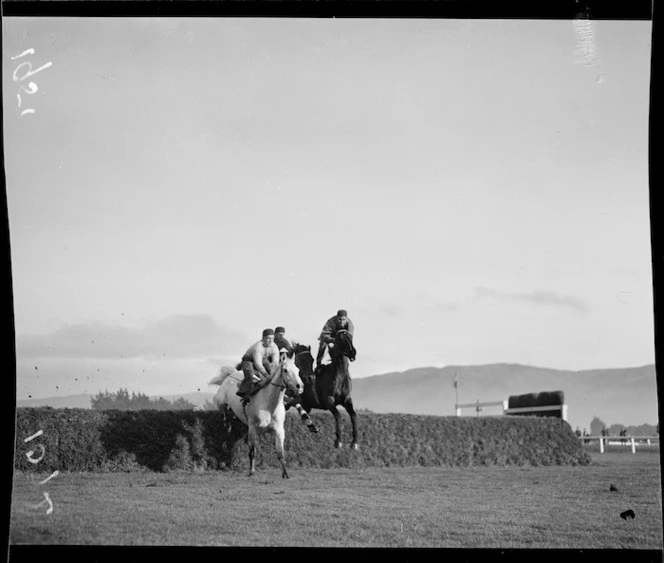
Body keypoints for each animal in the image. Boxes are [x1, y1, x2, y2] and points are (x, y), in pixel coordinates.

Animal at [209, 352, 304, 480]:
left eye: (298, 370)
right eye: (285, 370)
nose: (299, 386)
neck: (269, 406)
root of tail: (230, 374)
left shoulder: (279, 431)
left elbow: (280, 453)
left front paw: (285, 474)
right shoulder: (252, 428)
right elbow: (252, 451)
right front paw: (251, 471)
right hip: (220, 401)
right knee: (224, 410)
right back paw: (227, 422)